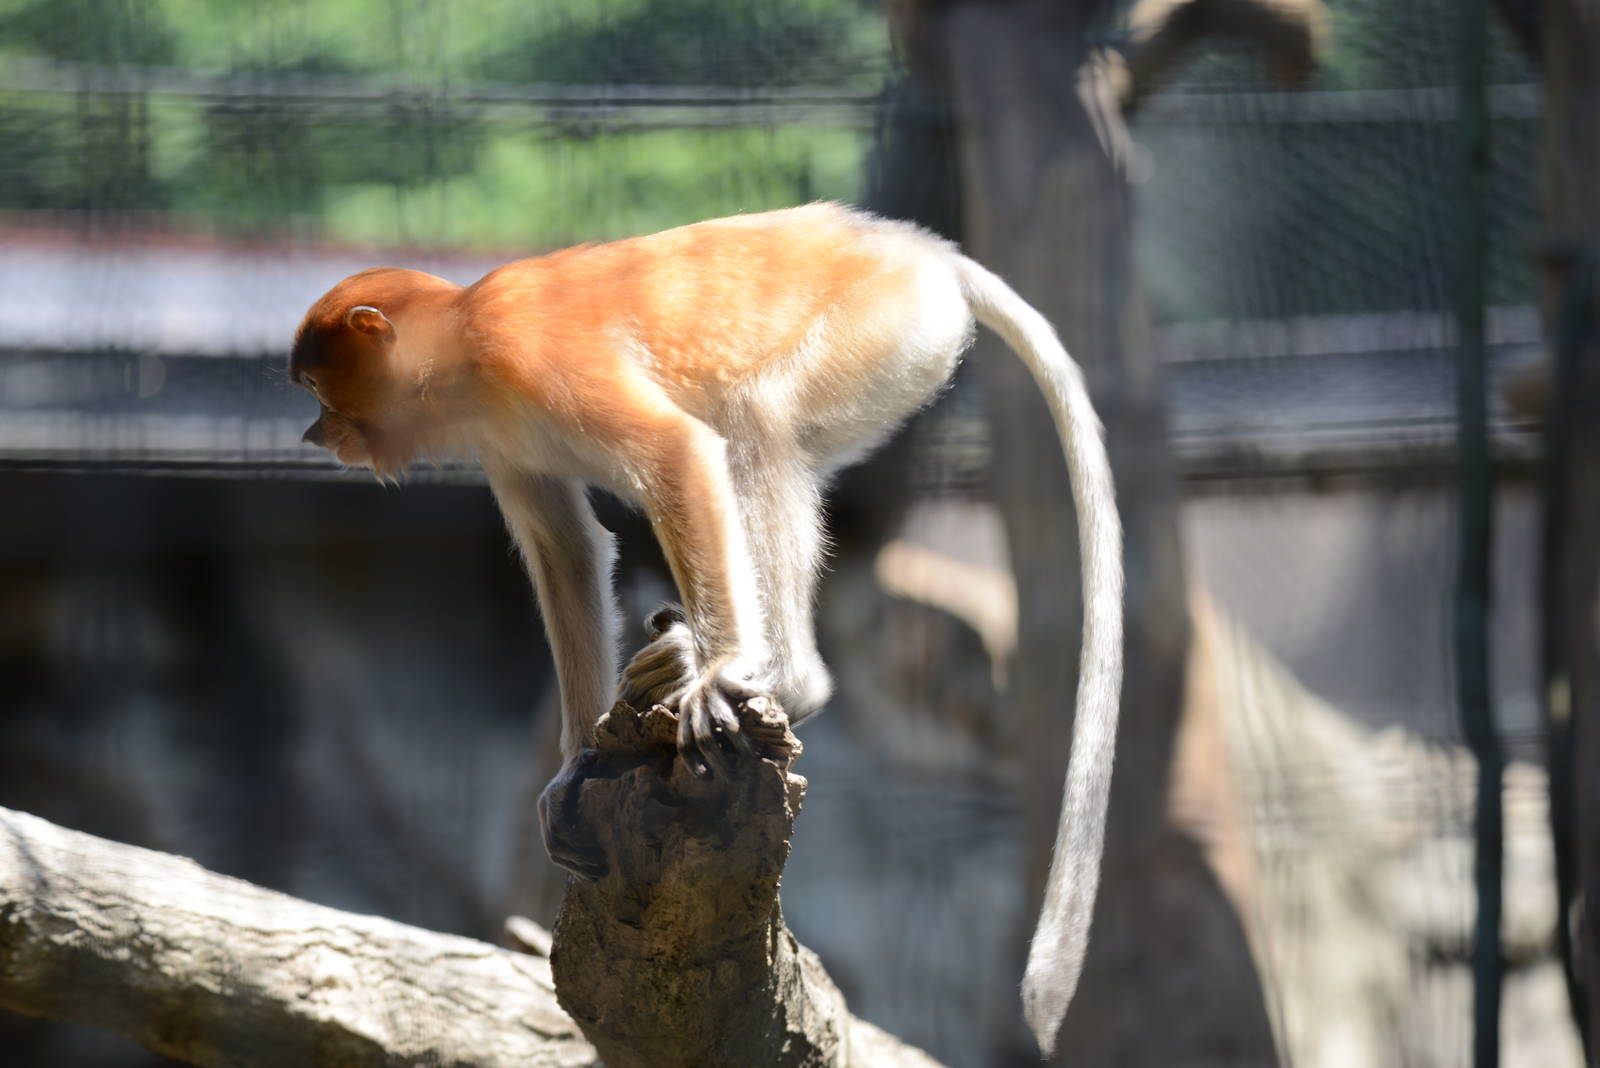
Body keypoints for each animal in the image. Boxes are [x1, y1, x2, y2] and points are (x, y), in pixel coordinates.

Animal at [289, 202, 1121, 1056]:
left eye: (317, 384)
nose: (316, 435)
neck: (460, 340)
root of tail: (912, 248)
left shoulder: (520, 355)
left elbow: (677, 453)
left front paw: (720, 678)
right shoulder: (503, 437)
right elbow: (567, 551)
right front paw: (575, 767)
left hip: (883, 326)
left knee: (759, 418)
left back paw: (766, 674)